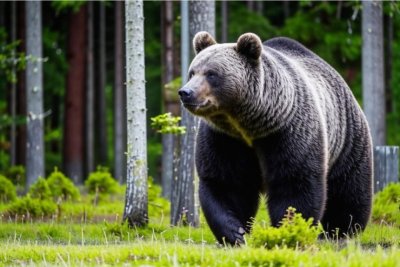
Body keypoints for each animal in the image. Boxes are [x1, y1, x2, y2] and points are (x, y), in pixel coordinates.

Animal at [178, 30, 372, 245]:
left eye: (211, 74)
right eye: (192, 72)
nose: (186, 92)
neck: (248, 125)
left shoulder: (287, 131)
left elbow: (295, 183)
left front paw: (287, 230)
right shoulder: (224, 138)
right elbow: (226, 183)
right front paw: (235, 232)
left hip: (346, 138)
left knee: (348, 189)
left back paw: (341, 229)